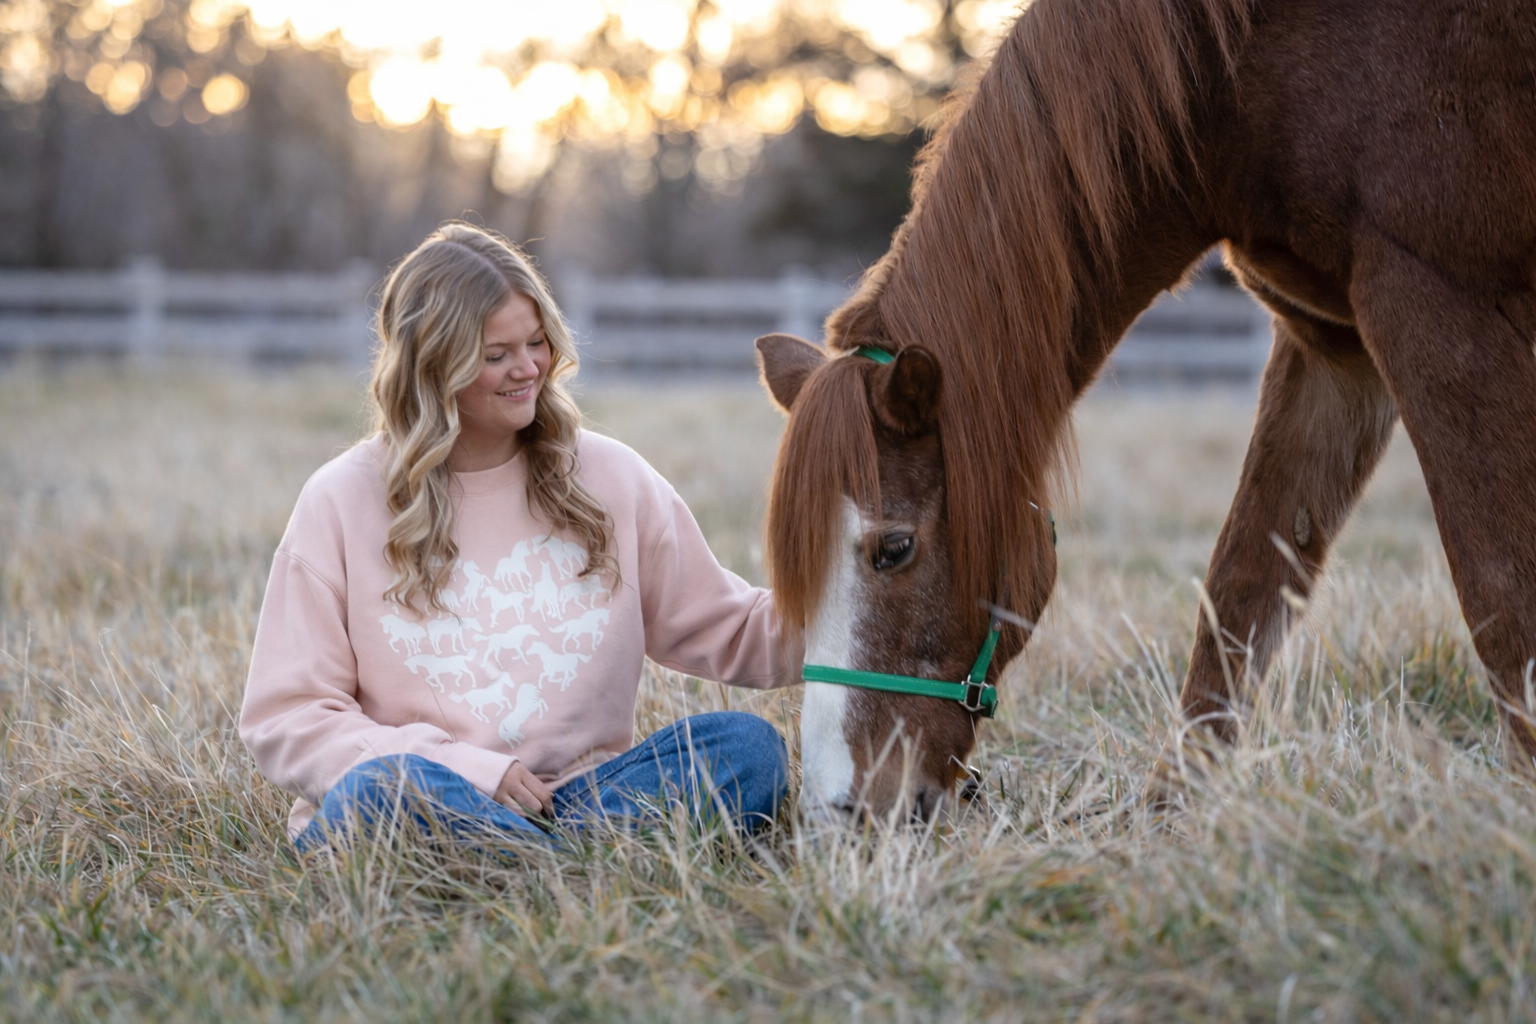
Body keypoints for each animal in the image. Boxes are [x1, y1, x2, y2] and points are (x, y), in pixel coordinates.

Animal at [756, 0, 1536, 822]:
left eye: (894, 548)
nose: (840, 809)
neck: (1247, 78)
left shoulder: (1435, 301)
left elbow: (1500, 596)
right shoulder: (1331, 347)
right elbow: (1241, 590)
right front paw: (1175, 811)